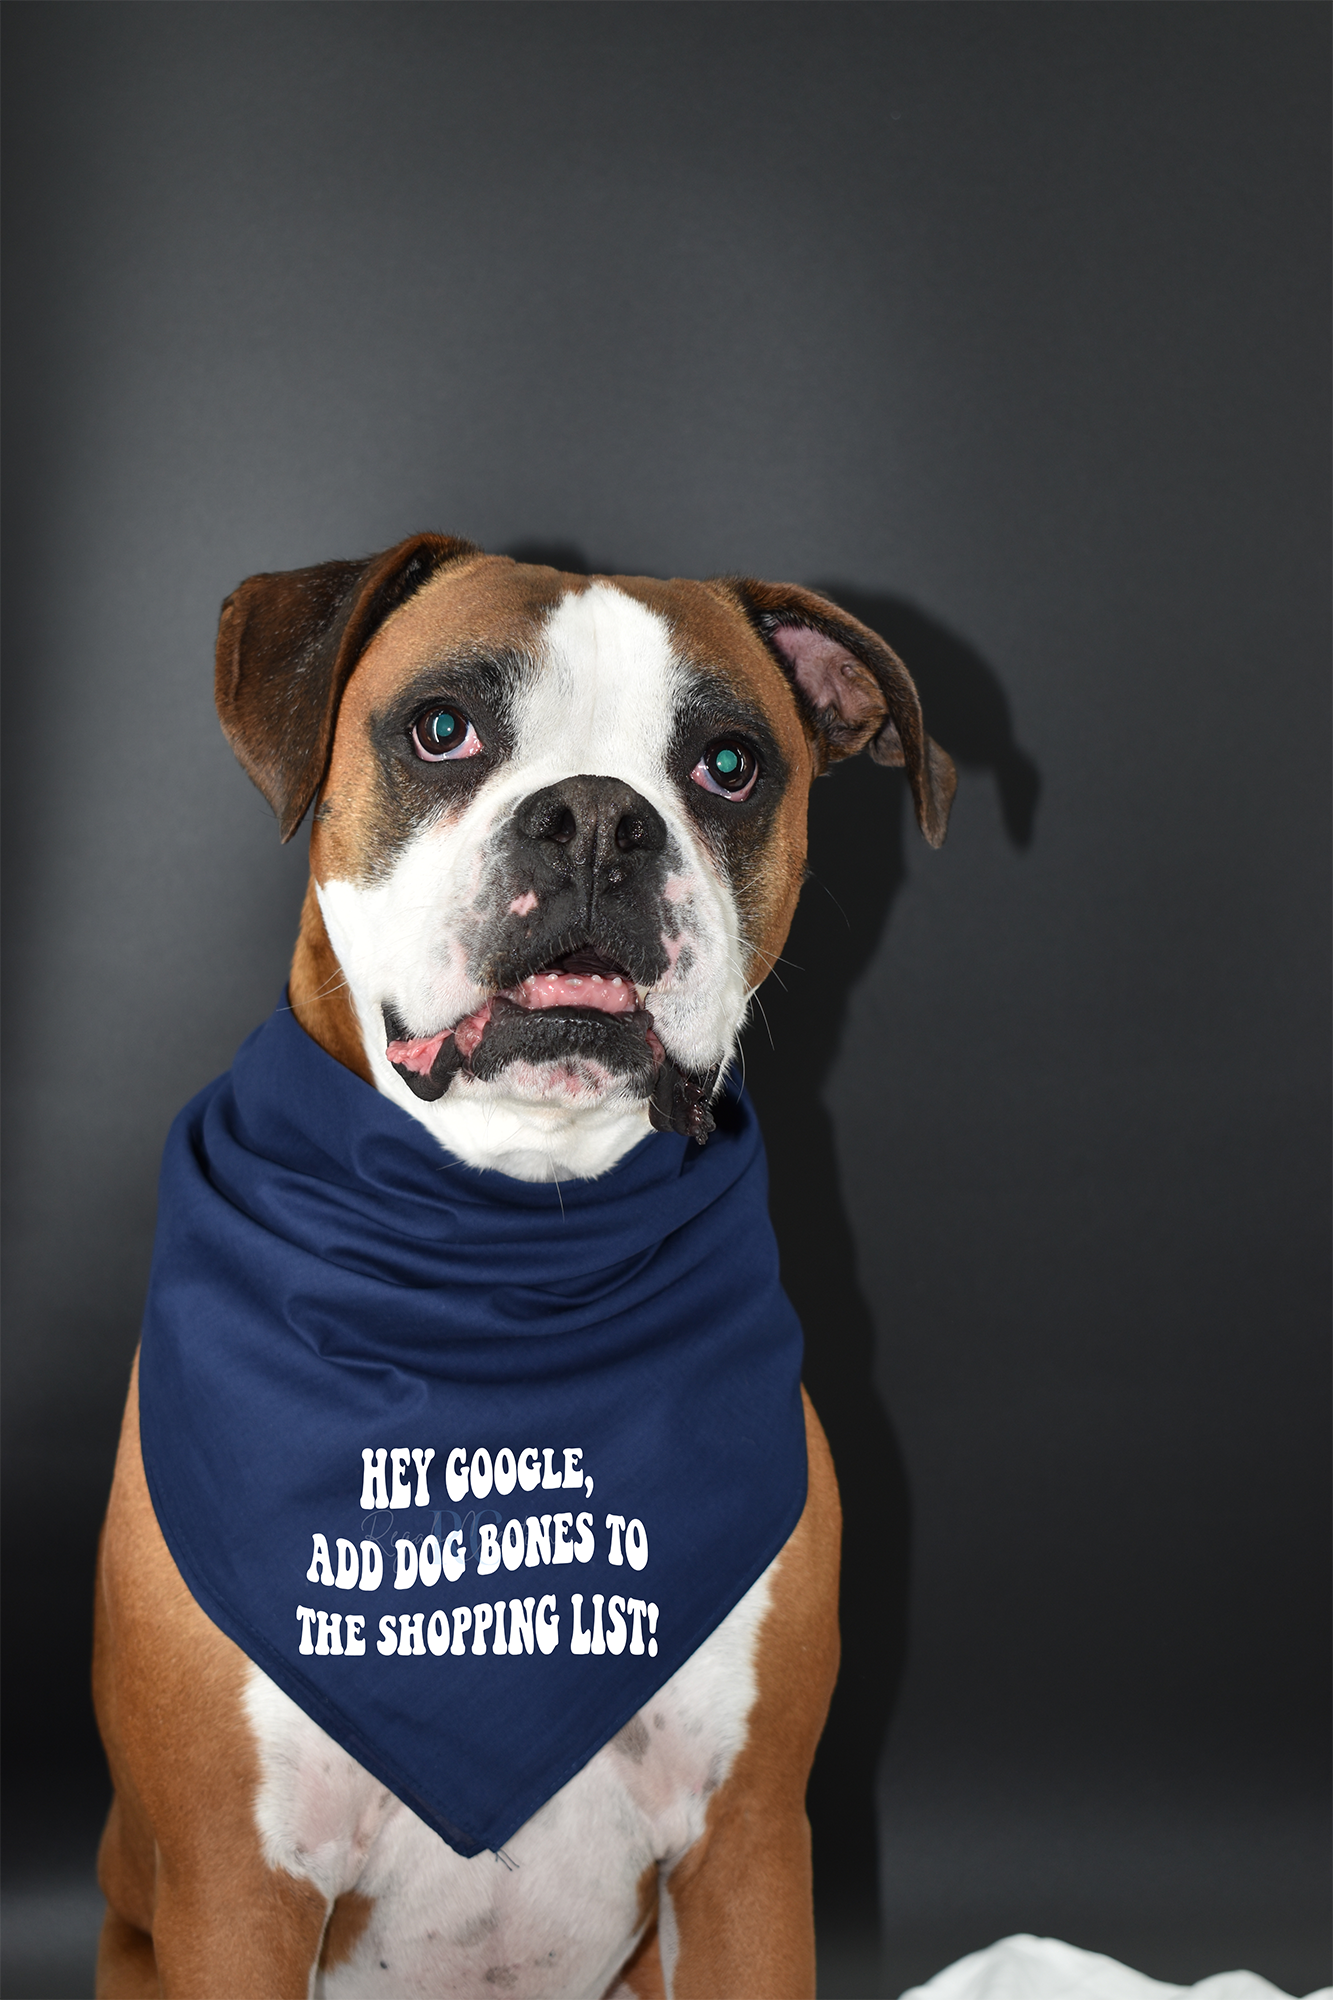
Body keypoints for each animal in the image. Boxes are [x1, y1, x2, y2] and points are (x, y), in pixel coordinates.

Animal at [91, 532, 944, 2000]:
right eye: (444, 729)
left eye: (728, 762)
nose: (598, 819)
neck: (510, 1257)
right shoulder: (235, 1885)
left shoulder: (746, 1851)